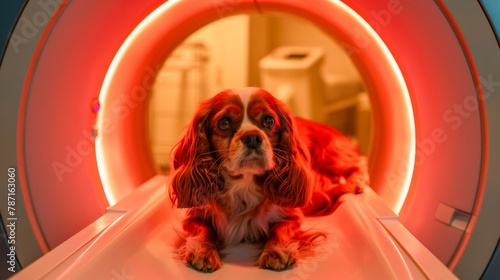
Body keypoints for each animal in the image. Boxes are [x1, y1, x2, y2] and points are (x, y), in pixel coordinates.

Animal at [168, 87, 368, 272]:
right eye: (224, 122)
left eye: (269, 120)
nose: (252, 137)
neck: (244, 184)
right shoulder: (194, 216)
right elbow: (203, 230)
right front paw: (203, 251)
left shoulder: (292, 216)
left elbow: (279, 230)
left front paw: (277, 251)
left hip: (331, 155)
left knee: (358, 161)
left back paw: (357, 181)